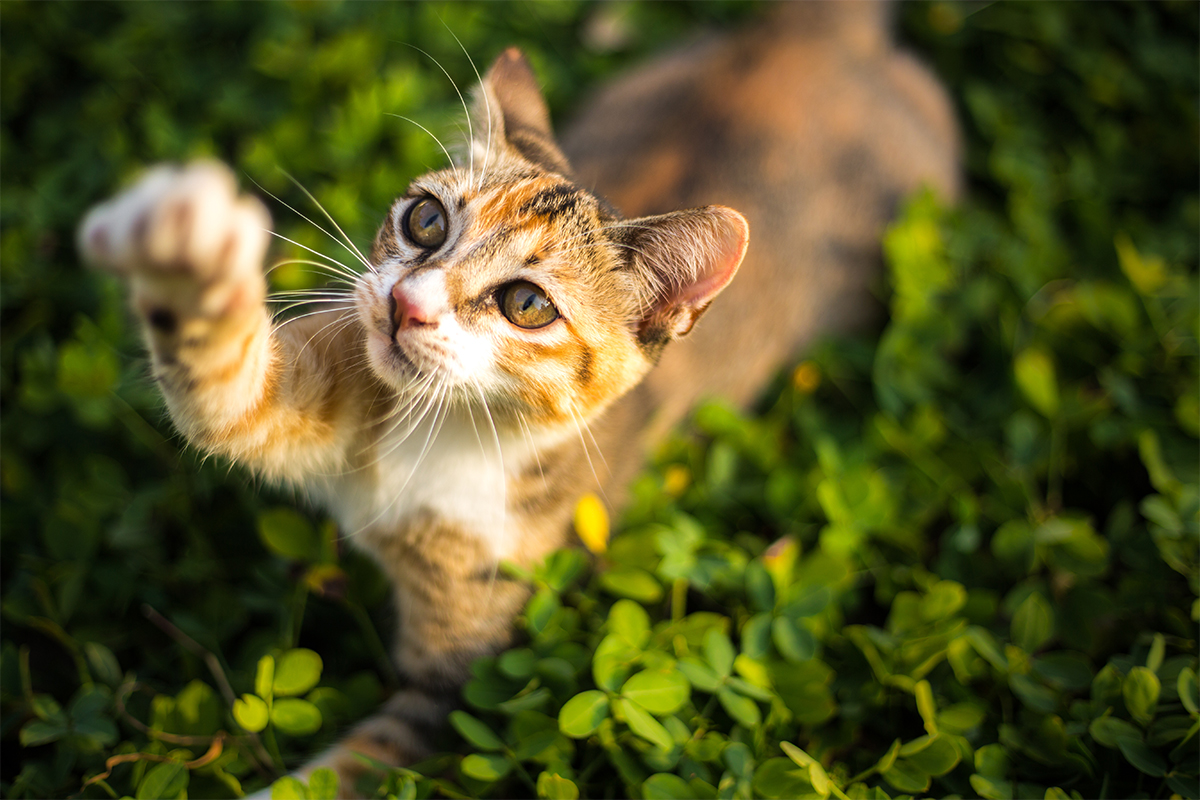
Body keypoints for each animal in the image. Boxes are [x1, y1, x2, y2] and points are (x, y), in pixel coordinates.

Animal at [72, 3, 955, 796]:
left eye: (527, 304)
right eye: (425, 221)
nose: (405, 304)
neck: (442, 439)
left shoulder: (464, 676)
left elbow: (357, 764)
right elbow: (234, 397)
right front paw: (184, 255)